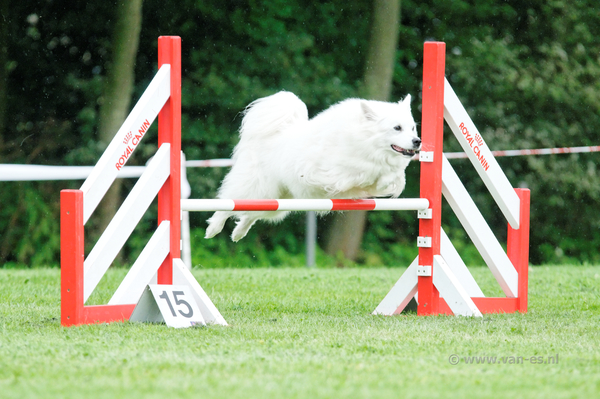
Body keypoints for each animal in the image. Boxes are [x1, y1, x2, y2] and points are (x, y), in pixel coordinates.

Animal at [206, 90, 422, 241]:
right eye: (397, 128)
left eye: (412, 127)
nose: (417, 141)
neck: (363, 139)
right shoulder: (337, 169)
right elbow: (367, 172)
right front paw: (386, 176)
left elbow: (390, 176)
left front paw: (392, 178)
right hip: (258, 189)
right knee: (228, 205)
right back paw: (213, 228)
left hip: (276, 201)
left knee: (250, 214)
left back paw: (238, 234)